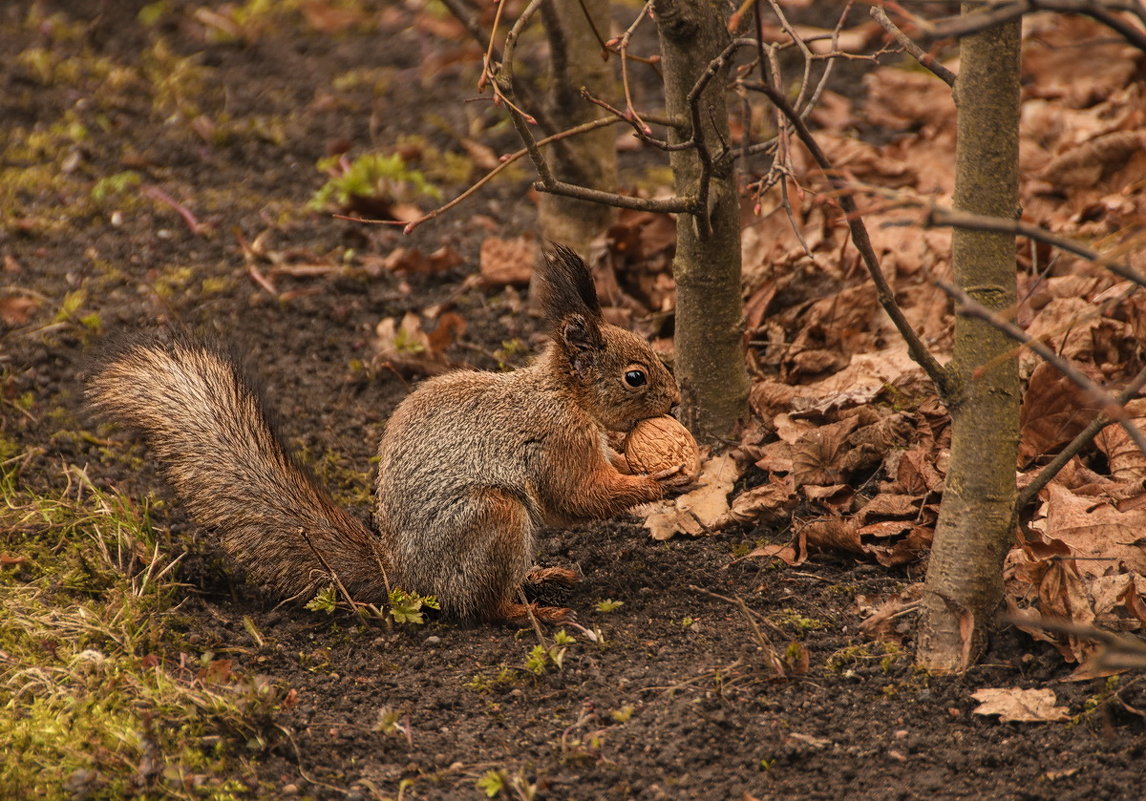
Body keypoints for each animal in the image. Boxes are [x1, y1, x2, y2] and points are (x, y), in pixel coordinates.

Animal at [91, 244, 678, 627]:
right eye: (635, 377)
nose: (675, 401)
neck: (564, 395)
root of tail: (407, 578)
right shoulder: (557, 441)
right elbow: (578, 496)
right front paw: (658, 481)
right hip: (493, 519)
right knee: (481, 606)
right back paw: (531, 610)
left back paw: (543, 576)